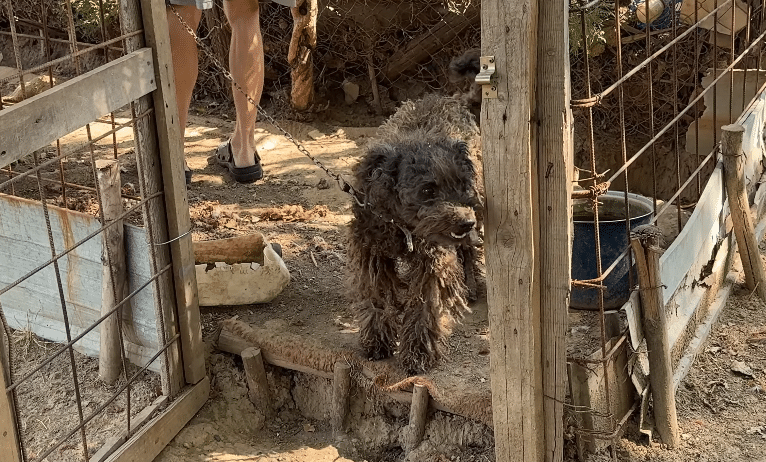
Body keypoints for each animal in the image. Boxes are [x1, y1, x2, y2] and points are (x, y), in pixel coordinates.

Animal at [346, 94, 483, 374]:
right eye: (427, 190)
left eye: (461, 185)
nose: (466, 222)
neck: (400, 223)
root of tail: (447, 97)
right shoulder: (371, 253)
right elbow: (376, 294)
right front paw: (377, 340)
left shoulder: (432, 260)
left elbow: (425, 304)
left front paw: (418, 353)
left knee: (468, 250)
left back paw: (473, 284)